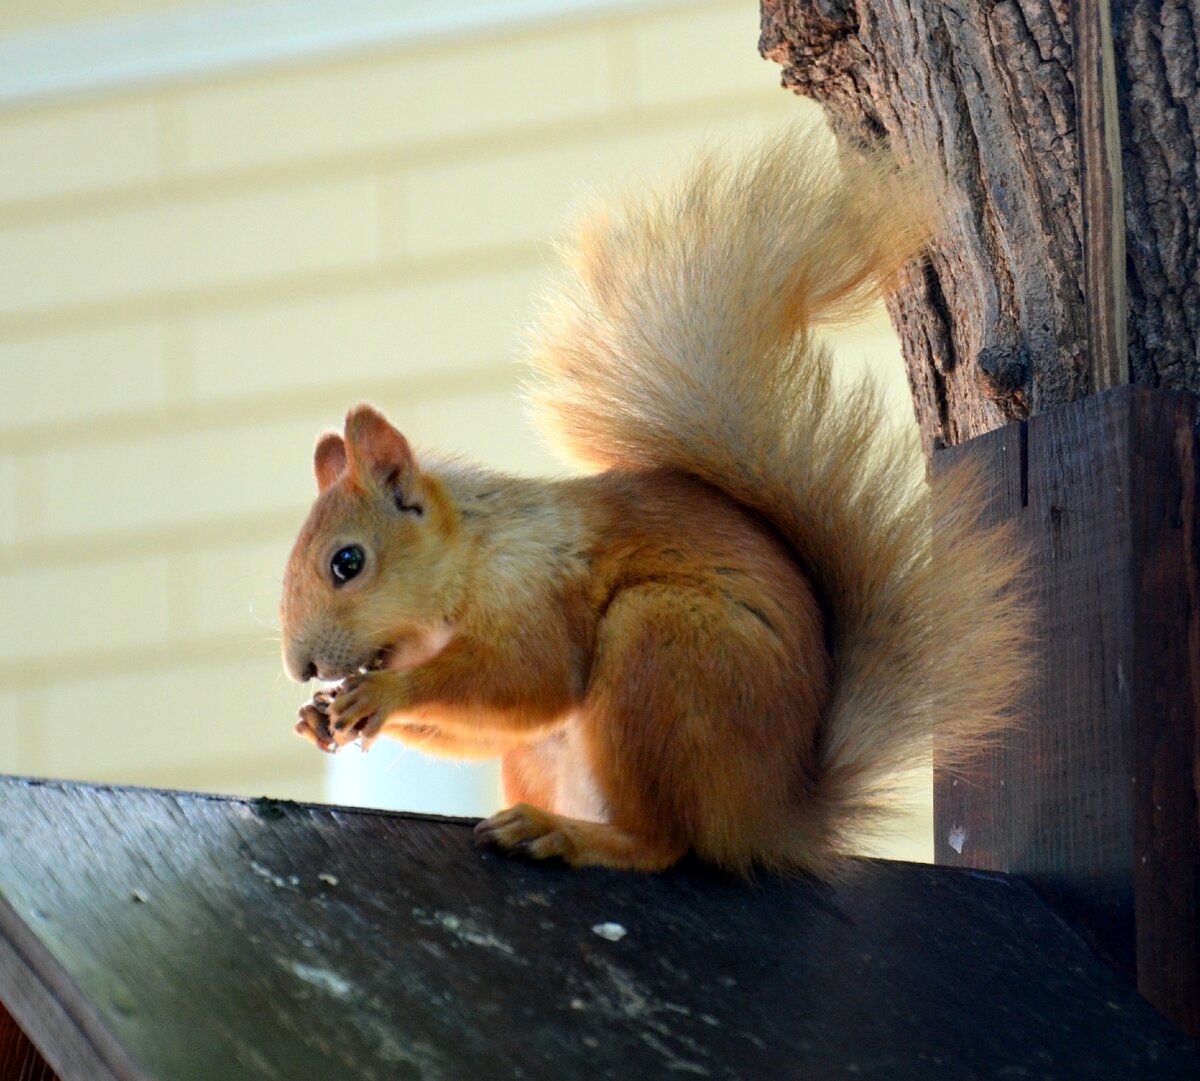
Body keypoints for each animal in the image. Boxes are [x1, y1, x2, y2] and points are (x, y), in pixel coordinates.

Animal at [276, 132, 1027, 878]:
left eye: (348, 563)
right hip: (562, 744)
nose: (301, 669)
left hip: (661, 650)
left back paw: (569, 835)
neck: (473, 553)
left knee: (663, 840)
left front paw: (386, 693)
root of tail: (773, 815)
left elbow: (531, 683)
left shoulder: (535, 591)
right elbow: (482, 729)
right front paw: (322, 715)